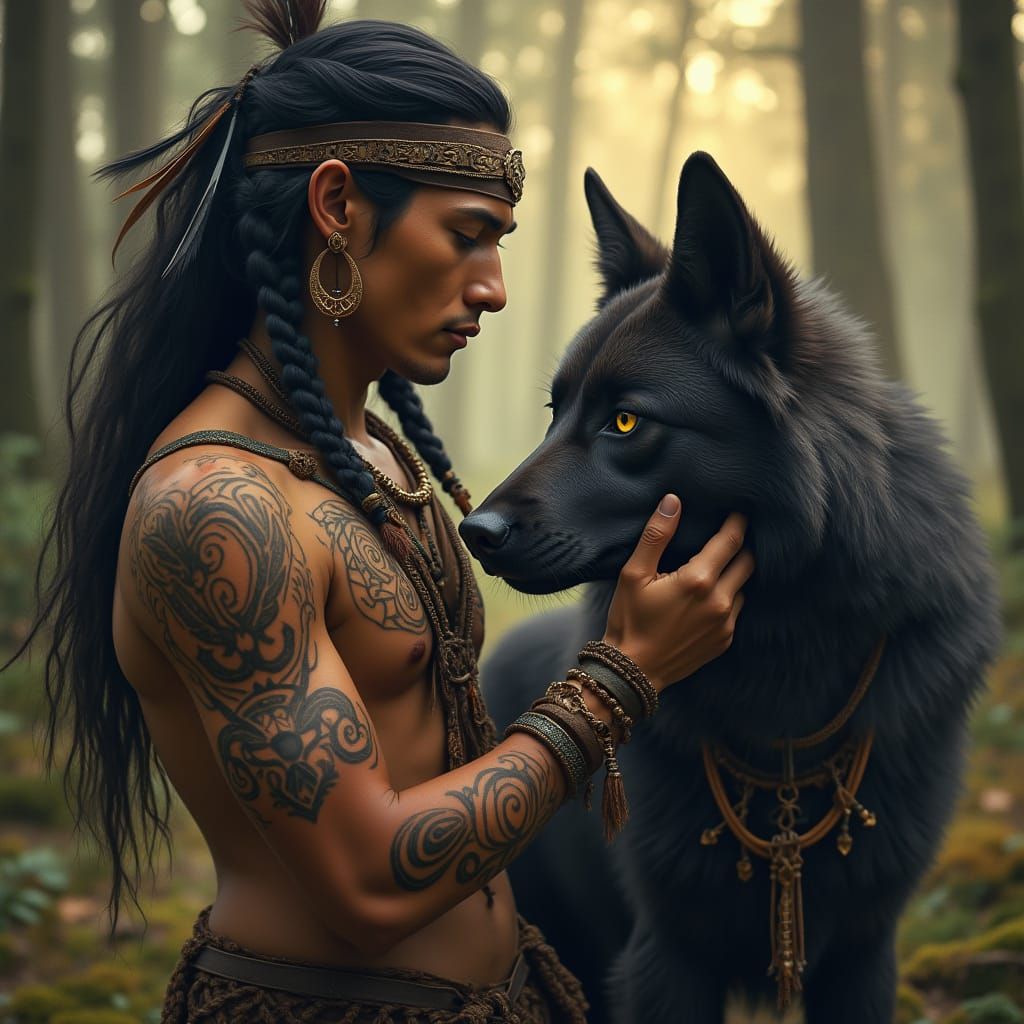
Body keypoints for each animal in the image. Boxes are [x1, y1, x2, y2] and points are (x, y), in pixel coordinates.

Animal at [459, 153, 1001, 1024]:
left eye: (624, 422)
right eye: (554, 411)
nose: (474, 532)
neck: (784, 653)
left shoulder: (864, 954)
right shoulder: (666, 956)